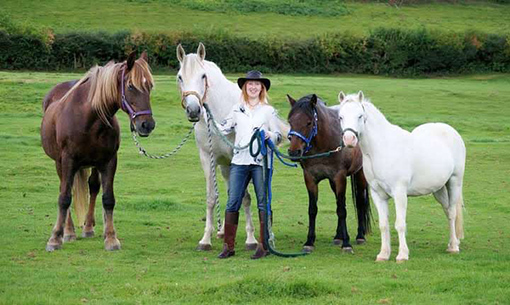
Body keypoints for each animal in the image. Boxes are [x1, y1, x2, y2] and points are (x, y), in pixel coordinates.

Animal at [41, 52, 155, 251]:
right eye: (131, 86)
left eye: (150, 85)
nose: (147, 125)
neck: (88, 117)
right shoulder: (68, 160)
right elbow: (64, 198)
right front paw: (55, 238)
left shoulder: (108, 161)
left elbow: (108, 199)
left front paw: (111, 238)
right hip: (59, 163)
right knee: (65, 189)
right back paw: (68, 232)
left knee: (93, 187)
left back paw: (87, 227)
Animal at [286, 94, 370, 253]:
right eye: (290, 121)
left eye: (309, 122)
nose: (294, 152)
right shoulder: (310, 178)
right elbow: (313, 209)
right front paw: (309, 242)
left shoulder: (340, 177)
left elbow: (342, 210)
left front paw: (347, 244)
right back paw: (338, 236)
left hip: (360, 174)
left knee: (360, 202)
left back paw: (360, 235)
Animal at [336, 91, 464, 262]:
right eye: (340, 117)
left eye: (360, 116)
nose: (349, 140)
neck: (381, 148)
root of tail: (450, 131)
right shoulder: (377, 194)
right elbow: (384, 225)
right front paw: (383, 254)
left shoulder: (399, 193)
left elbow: (400, 223)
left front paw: (402, 255)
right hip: (438, 189)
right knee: (447, 211)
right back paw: (451, 243)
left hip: (454, 182)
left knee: (452, 213)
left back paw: (454, 247)